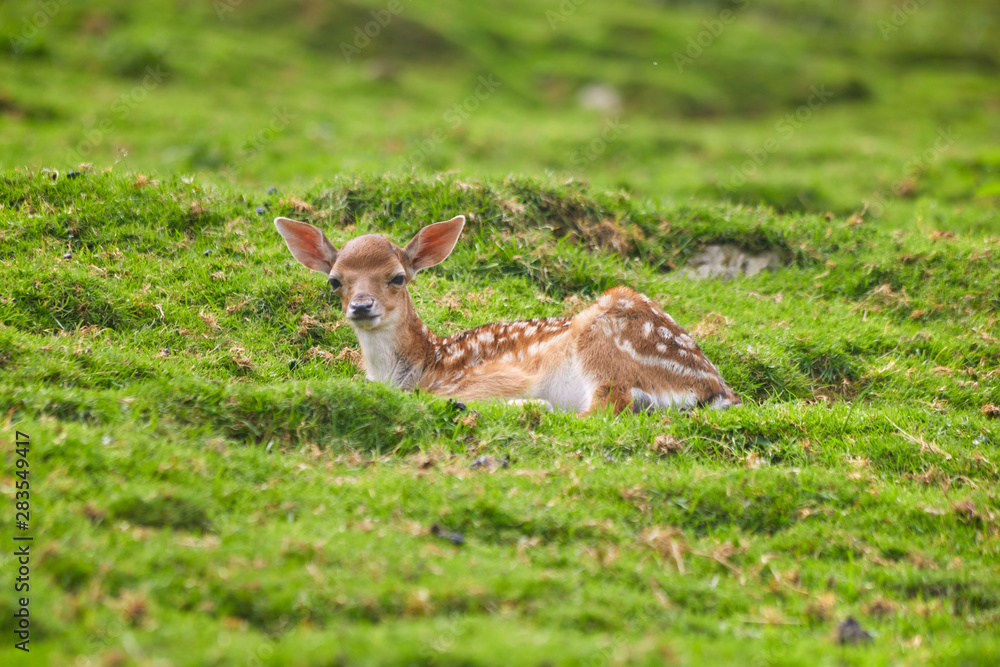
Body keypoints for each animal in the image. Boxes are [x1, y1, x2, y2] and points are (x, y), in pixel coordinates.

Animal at [278, 215, 740, 412]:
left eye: (397, 278)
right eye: (334, 281)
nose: (361, 305)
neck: (423, 366)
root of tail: (715, 388)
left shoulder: (487, 376)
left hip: (605, 339)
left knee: (605, 407)